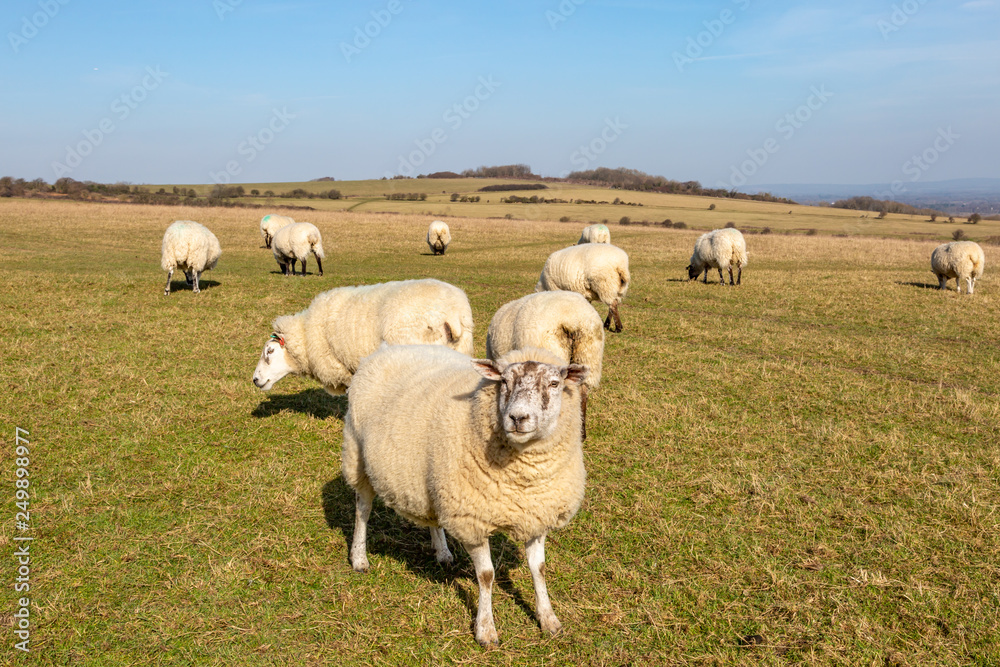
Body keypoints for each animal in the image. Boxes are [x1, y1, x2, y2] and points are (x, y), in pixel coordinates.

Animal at [342, 343, 588, 646]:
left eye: (555, 383)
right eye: (504, 381)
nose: (517, 418)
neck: (523, 480)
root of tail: (390, 347)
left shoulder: (536, 515)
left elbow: (538, 569)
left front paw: (548, 619)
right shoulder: (472, 520)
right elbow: (486, 576)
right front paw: (486, 630)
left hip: (434, 483)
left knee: (433, 517)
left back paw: (443, 552)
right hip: (357, 454)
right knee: (362, 509)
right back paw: (359, 558)